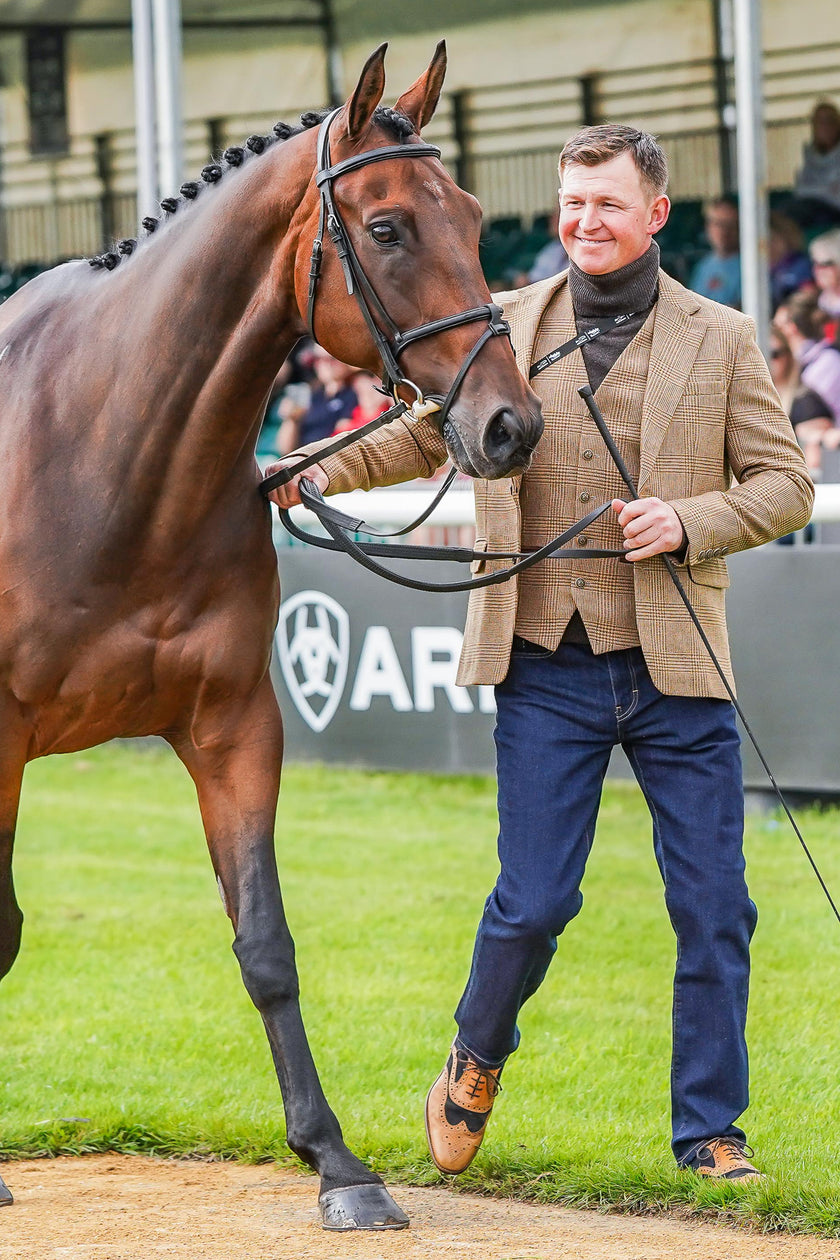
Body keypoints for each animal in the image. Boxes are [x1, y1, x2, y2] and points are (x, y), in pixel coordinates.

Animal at [0, 41, 541, 1229]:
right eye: (387, 228)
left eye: (478, 217)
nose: (511, 424)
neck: (104, 460)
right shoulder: (0, 746)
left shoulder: (233, 728)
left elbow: (267, 946)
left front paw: (336, 1162)